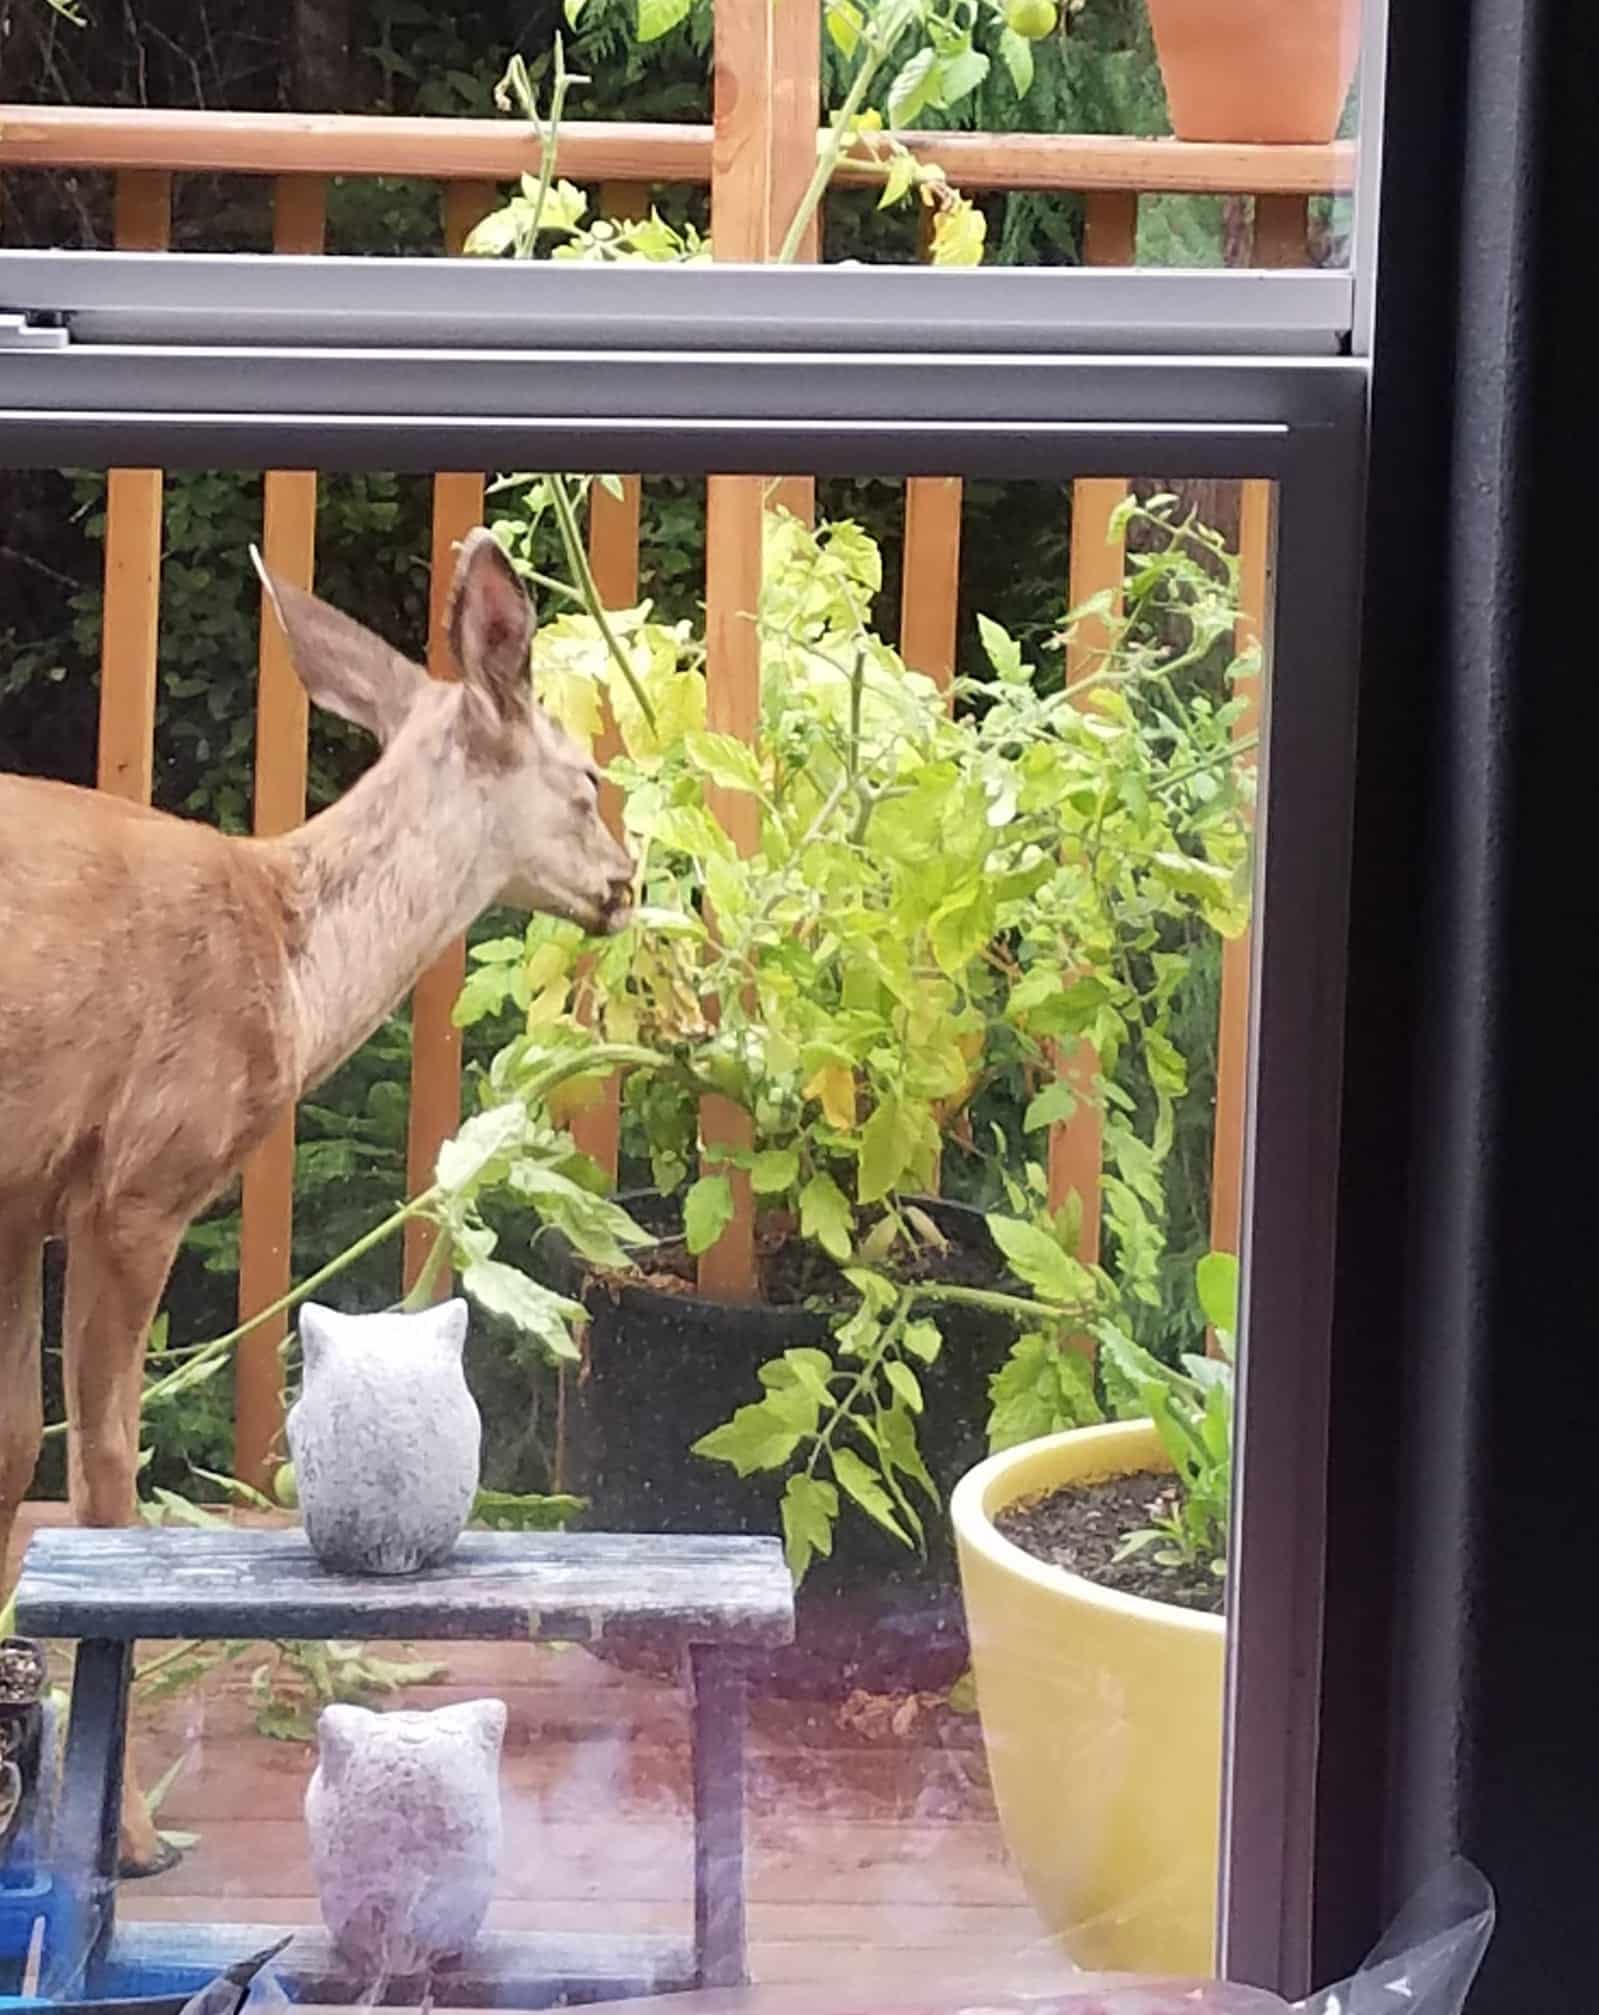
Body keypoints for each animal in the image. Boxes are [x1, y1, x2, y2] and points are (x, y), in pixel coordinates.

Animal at [0, 531, 632, 1869]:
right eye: (586, 777)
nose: (628, 878)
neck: (289, 966)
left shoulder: (21, 1196)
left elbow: (11, 1446)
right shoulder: (138, 1177)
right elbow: (104, 1475)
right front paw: (129, 1828)